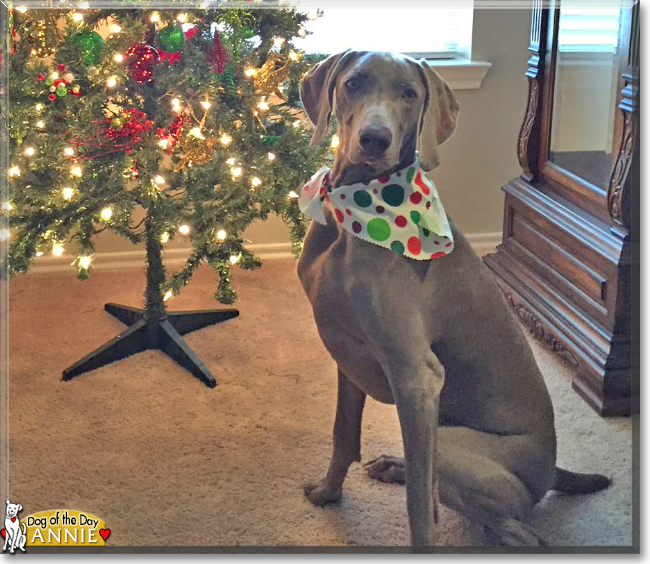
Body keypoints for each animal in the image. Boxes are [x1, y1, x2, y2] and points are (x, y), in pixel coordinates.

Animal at [294, 51, 608, 548]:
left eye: (409, 93)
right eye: (353, 83)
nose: (374, 138)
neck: (356, 212)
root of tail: (550, 472)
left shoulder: (417, 377)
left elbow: (421, 506)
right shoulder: (346, 353)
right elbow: (343, 434)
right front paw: (328, 493)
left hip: (452, 445)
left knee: (511, 526)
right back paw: (394, 465)